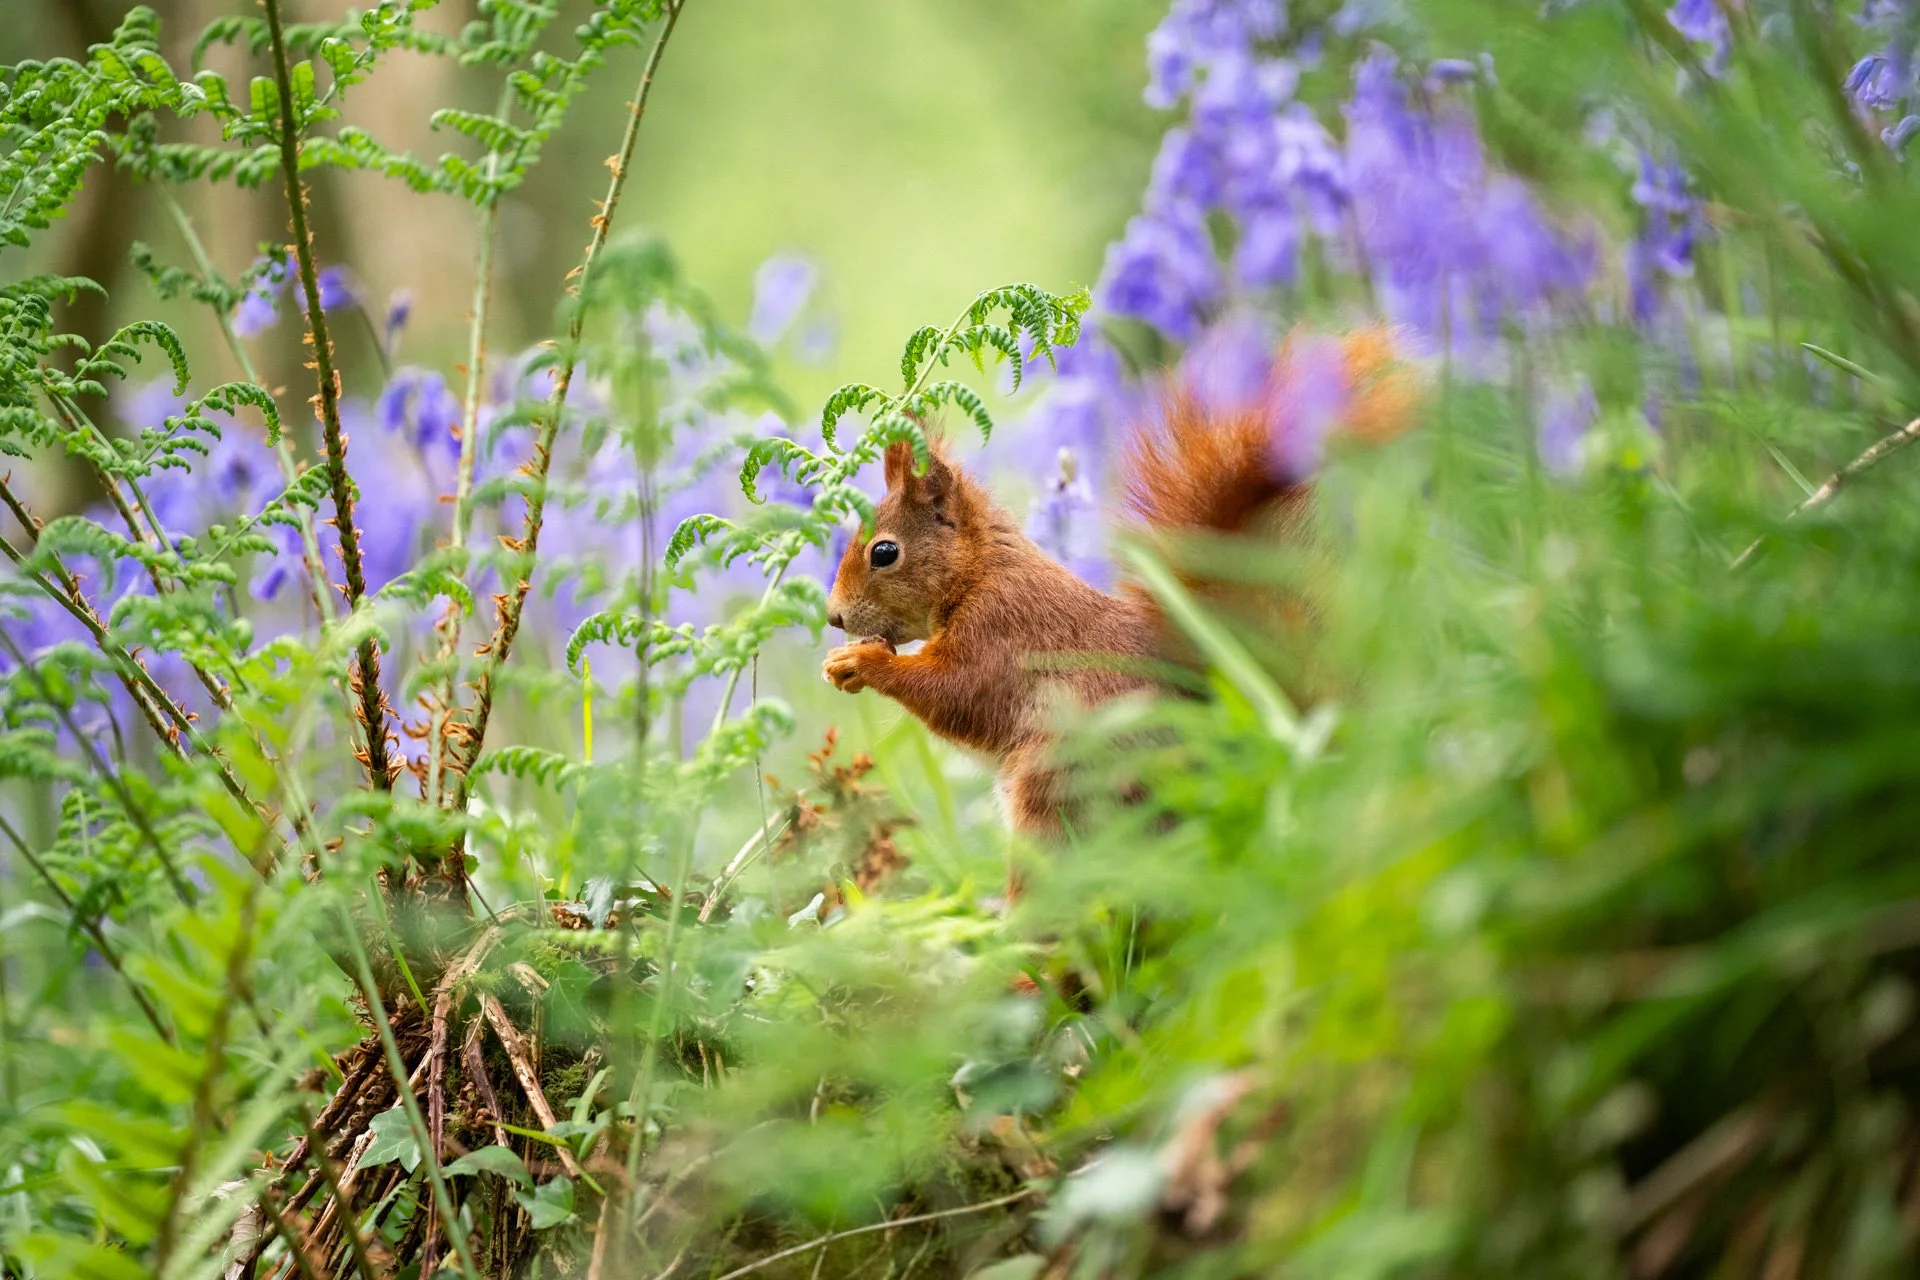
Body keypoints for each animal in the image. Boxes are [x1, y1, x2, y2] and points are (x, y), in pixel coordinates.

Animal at [822, 326, 1420, 836]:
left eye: (884, 552)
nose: (834, 616)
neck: (978, 574)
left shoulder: (1002, 631)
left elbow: (958, 693)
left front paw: (863, 662)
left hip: (1066, 789)